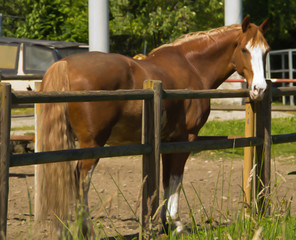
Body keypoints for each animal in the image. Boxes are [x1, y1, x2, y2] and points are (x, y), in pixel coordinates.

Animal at [35, 16, 270, 238]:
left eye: (266, 51)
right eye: (244, 49)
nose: (259, 89)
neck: (193, 66)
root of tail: (64, 65)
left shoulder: (168, 140)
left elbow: (166, 180)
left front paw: (166, 224)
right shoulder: (185, 139)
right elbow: (176, 178)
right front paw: (177, 225)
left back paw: (61, 229)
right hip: (92, 144)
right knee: (81, 180)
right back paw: (87, 230)